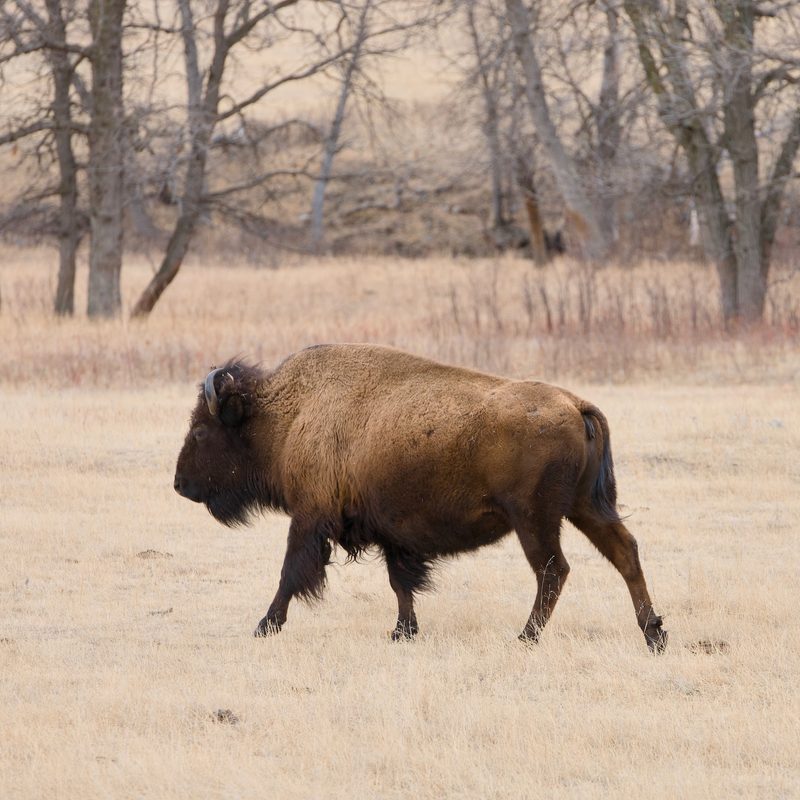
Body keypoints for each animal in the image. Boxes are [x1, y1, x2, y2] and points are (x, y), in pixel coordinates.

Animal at [174, 344, 667, 652]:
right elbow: (401, 583)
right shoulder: (393, 533)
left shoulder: (310, 517)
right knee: (624, 553)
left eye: (200, 431)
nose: (179, 484)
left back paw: (526, 638)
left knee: (553, 571)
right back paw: (654, 634)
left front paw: (265, 626)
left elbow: (290, 573)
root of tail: (576, 404)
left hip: (535, 518)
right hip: (587, 507)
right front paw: (402, 632)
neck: (288, 413)